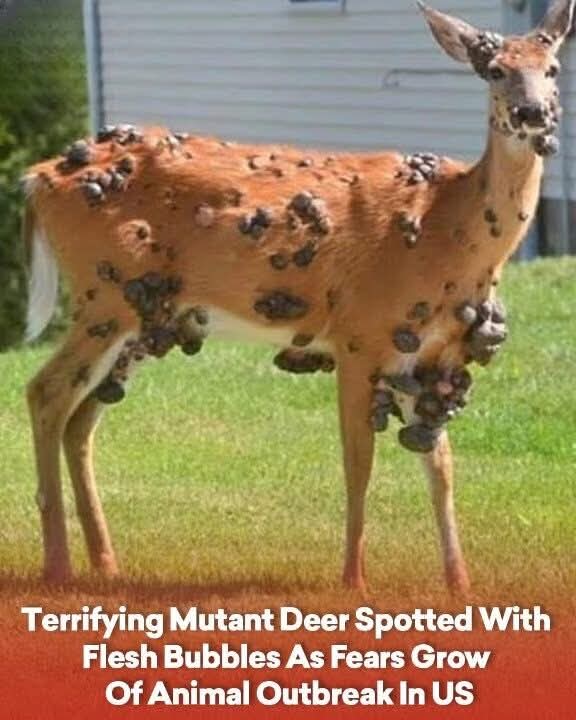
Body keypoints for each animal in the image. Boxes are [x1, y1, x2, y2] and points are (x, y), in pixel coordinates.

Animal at [22, 0, 574, 591]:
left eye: (552, 69)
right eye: (495, 70)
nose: (532, 112)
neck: (447, 228)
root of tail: (37, 177)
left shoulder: (429, 356)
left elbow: (441, 468)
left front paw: (460, 585)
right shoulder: (360, 337)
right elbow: (359, 464)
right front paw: (354, 581)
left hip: (146, 318)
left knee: (81, 419)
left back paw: (106, 565)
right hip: (103, 296)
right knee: (45, 392)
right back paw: (57, 566)